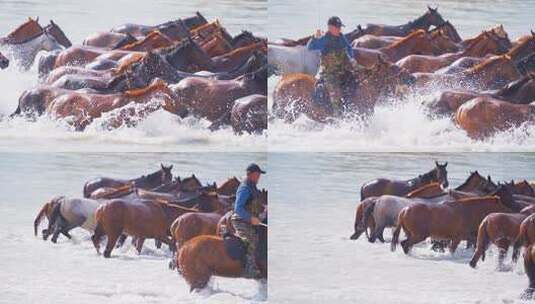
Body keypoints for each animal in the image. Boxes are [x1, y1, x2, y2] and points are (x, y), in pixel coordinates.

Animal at [392, 185, 520, 254]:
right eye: (503, 203)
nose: (515, 210)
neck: (471, 211)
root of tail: (403, 211)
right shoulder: (457, 238)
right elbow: (452, 249)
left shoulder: (468, 237)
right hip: (419, 235)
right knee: (405, 244)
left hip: (411, 233)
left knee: (406, 244)